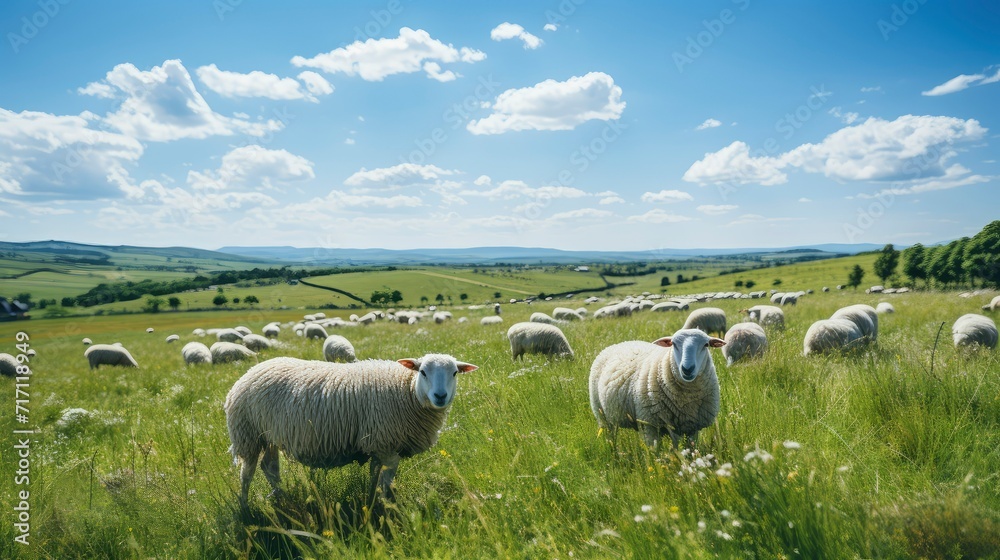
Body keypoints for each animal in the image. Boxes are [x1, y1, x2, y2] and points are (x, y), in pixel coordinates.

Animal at [224, 354, 478, 508]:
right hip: (248, 433)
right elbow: (386, 482)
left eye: (455, 373)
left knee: (270, 467)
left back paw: (282, 499)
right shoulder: (387, 445)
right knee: (247, 473)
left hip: (268, 436)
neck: (407, 391)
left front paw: (372, 500)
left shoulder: (378, 445)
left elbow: (375, 476)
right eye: (423, 371)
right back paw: (245, 507)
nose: (440, 396)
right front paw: (387, 508)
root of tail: (250, 371)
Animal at [589, 329, 725, 449]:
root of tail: (621, 343)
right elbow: (655, 452)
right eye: (673, 344)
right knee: (610, 436)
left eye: (706, 345)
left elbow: (689, 449)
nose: (687, 369)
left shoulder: (692, 428)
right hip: (601, 414)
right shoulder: (650, 425)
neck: (686, 400)